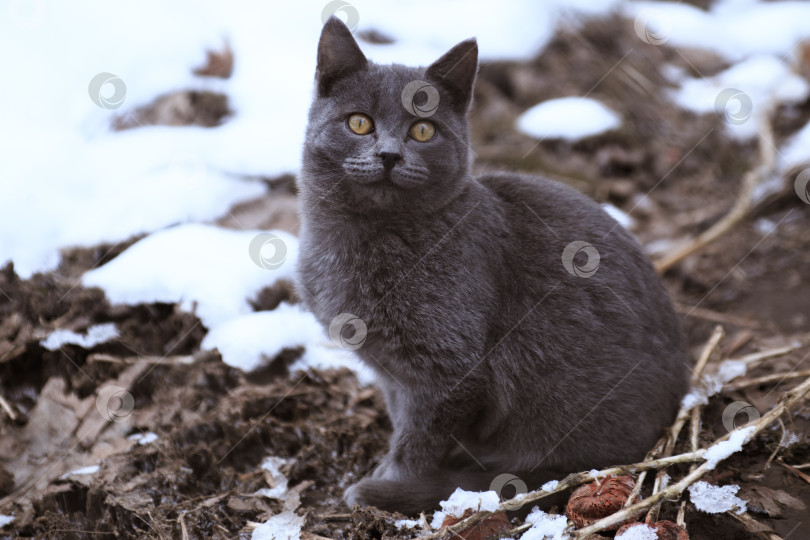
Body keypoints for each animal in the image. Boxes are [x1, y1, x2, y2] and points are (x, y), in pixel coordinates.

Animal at [294, 16, 684, 516]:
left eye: (424, 130)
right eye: (359, 122)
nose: (389, 154)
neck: (361, 239)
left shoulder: (451, 370)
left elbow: (419, 439)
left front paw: (388, 484)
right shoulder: (393, 375)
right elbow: (404, 422)